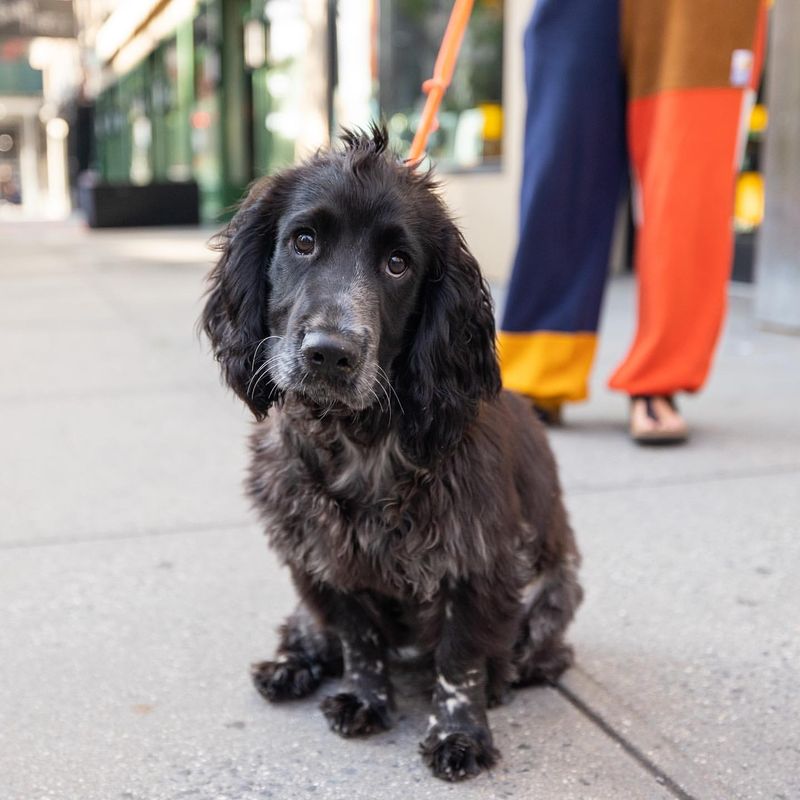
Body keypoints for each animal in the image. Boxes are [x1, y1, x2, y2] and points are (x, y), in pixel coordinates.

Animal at [202, 125, 580, 780]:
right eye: (303, 241)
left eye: (398, 263)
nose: (330, 353)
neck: (357, 438)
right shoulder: (323, 557)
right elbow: (358, 639)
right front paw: (364, 697)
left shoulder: (478, 560)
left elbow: (460, 659)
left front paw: (459, 732)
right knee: (312, 631)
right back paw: (291, 666)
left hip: (556, 592)